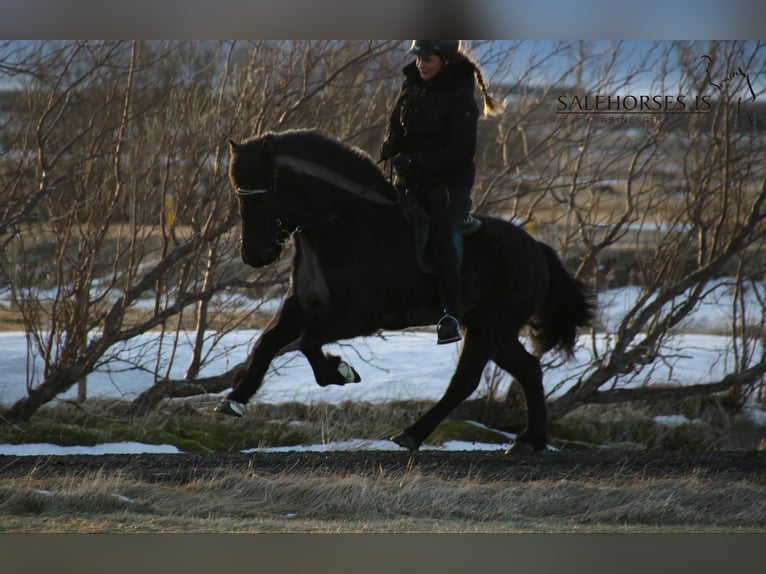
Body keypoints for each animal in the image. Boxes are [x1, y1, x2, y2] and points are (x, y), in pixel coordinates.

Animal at [219, 129, 596, 454]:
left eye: (263, 194)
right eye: (238, 193)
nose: (254, 256)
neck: (340, 227)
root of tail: (537, 249)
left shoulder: (360, 317)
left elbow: (309, 341)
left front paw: (340, 372)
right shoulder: (302, 306)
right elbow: (267, 343)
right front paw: (235, 399)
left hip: (491, 326)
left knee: (467, 380)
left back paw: (412, 434)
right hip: (494, 329)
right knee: (529, 369)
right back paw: (529, 441)